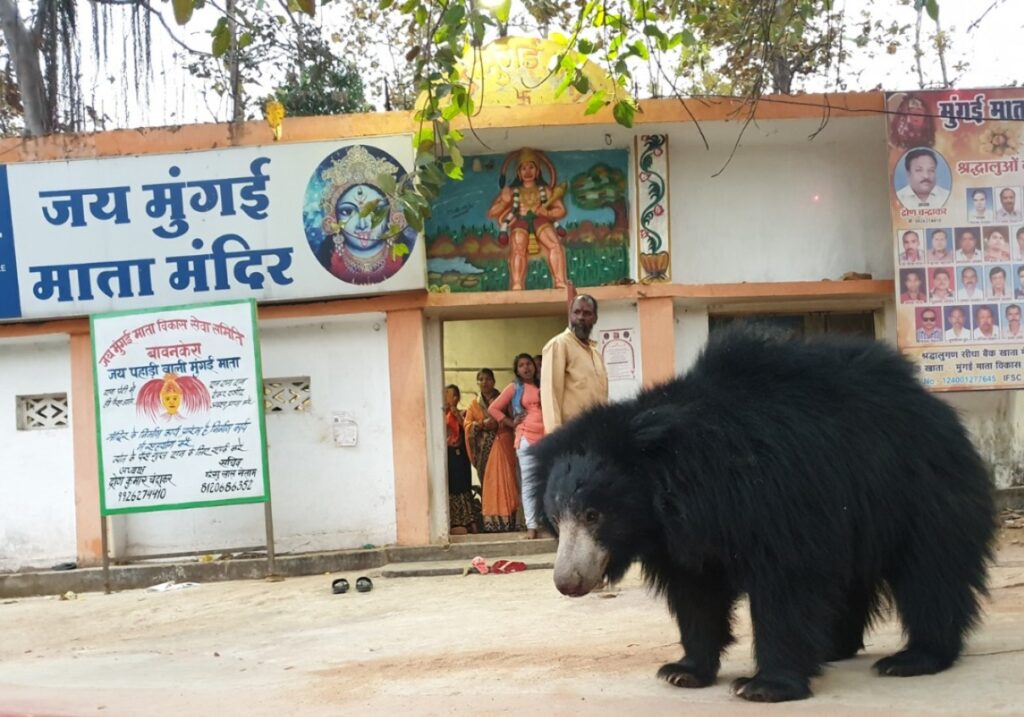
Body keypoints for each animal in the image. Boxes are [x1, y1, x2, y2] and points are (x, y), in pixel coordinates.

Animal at [532, 327, 995, 704]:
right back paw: (834, 647)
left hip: (919, 493)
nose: (567, 582)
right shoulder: (681, 536)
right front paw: (683, 671)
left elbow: (787, 580)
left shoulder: (774, 496)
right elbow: (696, 593)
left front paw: (764, 686)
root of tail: (940, 413)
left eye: (593, 515)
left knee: (929, 571)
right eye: (557, 518)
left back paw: (913, 658)